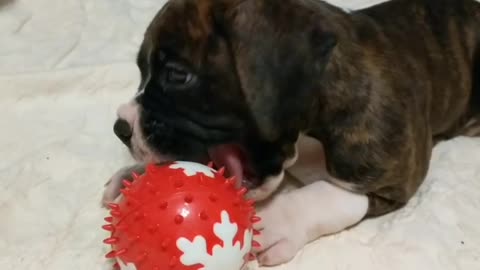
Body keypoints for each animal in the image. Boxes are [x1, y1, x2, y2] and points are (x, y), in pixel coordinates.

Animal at [102, 0, 480, 266]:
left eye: (177, 75)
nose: (121, 128)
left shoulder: (392, 176)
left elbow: (327, 194)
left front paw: (273, 221)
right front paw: (135, 175)